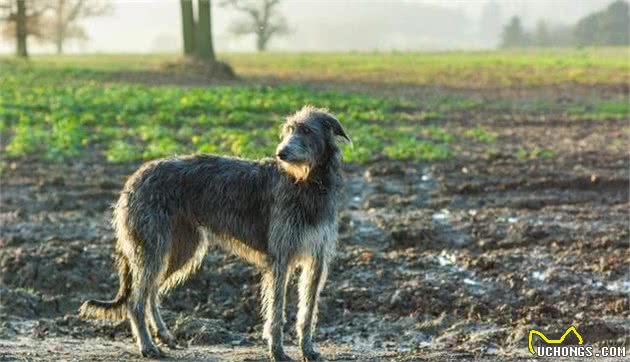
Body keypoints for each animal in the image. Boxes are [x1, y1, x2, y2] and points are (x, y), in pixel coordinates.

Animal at [79, 106, 350, 360]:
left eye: (307, 130)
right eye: (288, 130)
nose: (280, 153)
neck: (308, 183)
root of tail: (133, 178)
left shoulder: (317, 259)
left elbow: (308, 312)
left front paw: (308, 350)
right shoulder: (280, 259)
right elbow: (276, 311)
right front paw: (277, 351)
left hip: (181, 248)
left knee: (151, 293)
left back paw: (164, 335)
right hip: (153, 246)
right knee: (136, 301)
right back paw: (147, 346)